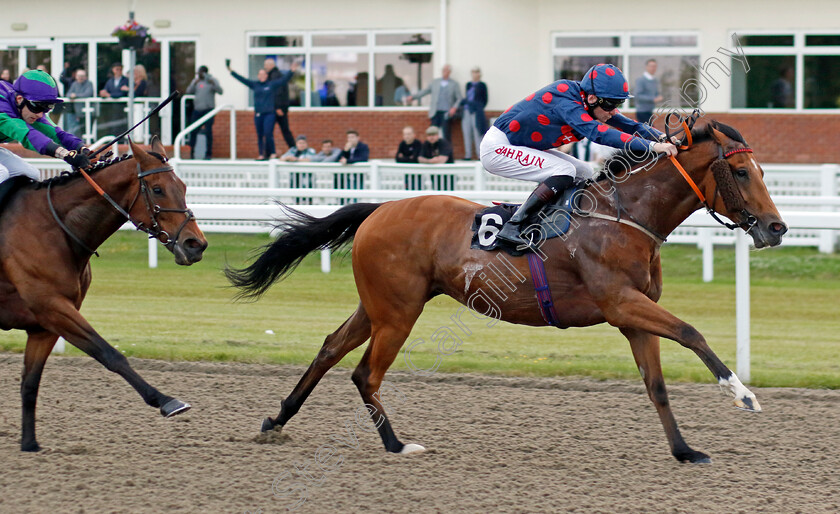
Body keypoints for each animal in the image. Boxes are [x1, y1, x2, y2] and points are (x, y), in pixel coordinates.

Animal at [0, 137, 208, 448]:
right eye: (157, 189)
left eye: (182, 186)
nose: (196, 244)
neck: (53, 227)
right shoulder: (53, 307)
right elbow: (111, 354)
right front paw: (167, 401)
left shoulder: (44, 324)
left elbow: (30, 382)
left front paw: (30, 444)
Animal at [228, 121, 788, 464]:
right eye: (741, 172)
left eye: (762, 170)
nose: (777, 228)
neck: (624, 216)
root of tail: (379, 209)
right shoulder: (621, 302)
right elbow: (692, 333)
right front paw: (743, 394)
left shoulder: (633, 315)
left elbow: (656, 385)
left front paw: (685, 450)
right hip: (399, 312)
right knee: (366, 373)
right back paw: (396, 444)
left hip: (381, 306)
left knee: (328, 349)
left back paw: (276, 420)